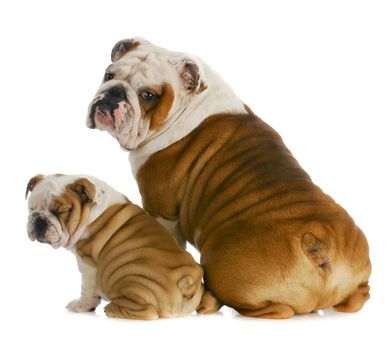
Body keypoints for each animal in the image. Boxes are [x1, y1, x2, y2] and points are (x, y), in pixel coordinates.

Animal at [26, 175, 219, 320]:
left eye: (59, 212)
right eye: (31, 208)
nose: (39, 220)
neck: (91, 212)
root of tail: (187, 283)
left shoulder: (87, 264)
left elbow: (87, 290)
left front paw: (81, 306)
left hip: (127, 274)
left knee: (149, 312)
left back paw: (112, 308)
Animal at [87, 37, 372, 318]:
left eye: (148, 95)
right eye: (108, 75)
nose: (114, 92)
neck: (189, 106)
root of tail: (319, 245)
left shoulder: (161, 208)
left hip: (222, 265)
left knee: (277, 309)